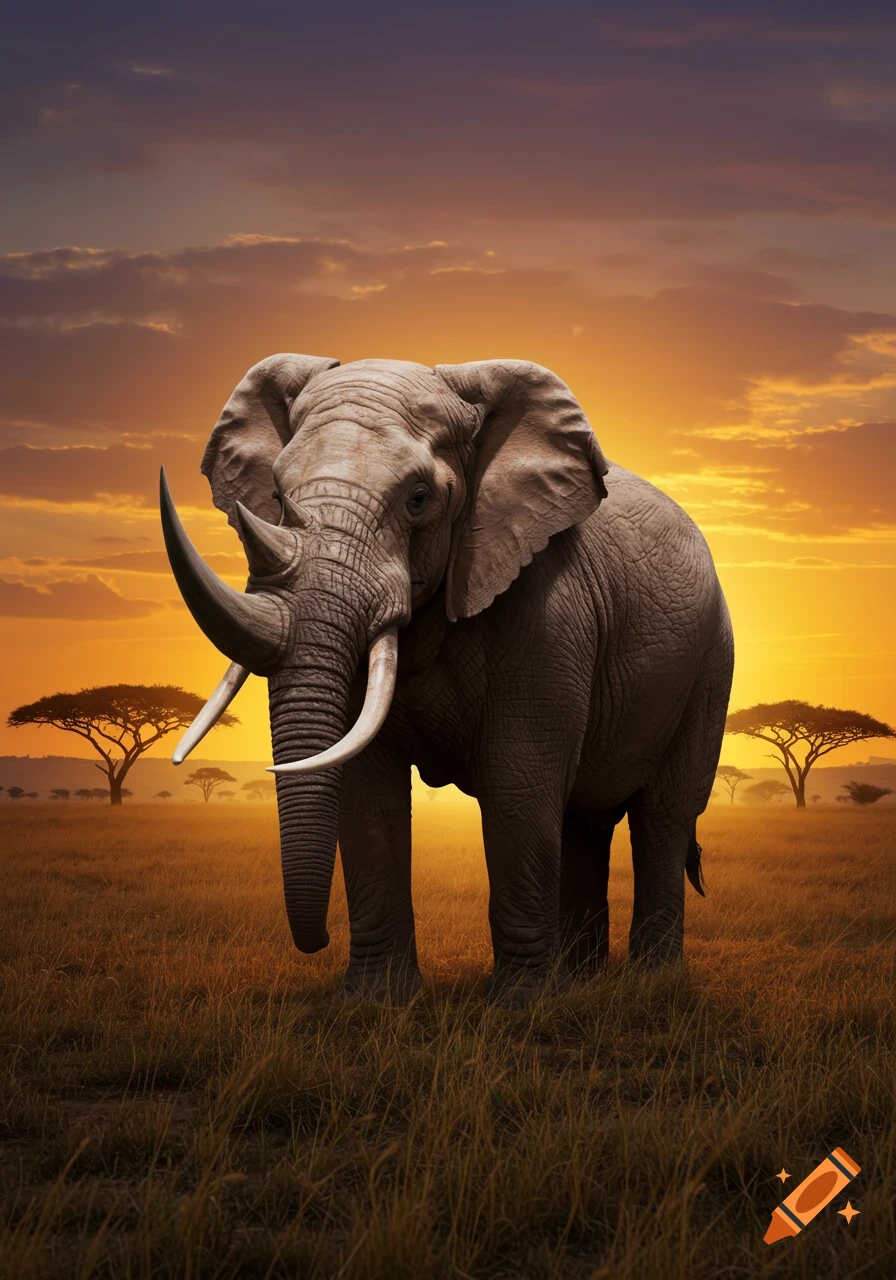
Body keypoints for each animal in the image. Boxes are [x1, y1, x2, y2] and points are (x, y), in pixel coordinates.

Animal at [161, 355, 734, 1003]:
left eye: (418, 499)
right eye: (277, 497)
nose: (316, 943)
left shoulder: (546, 606)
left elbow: (517, 782)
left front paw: (522, 1007)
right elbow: (366, 788)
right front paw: (375, 1002)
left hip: (711, 663)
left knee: (663, 814)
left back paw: (649, 983)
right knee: (583, 817)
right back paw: (583, 980)